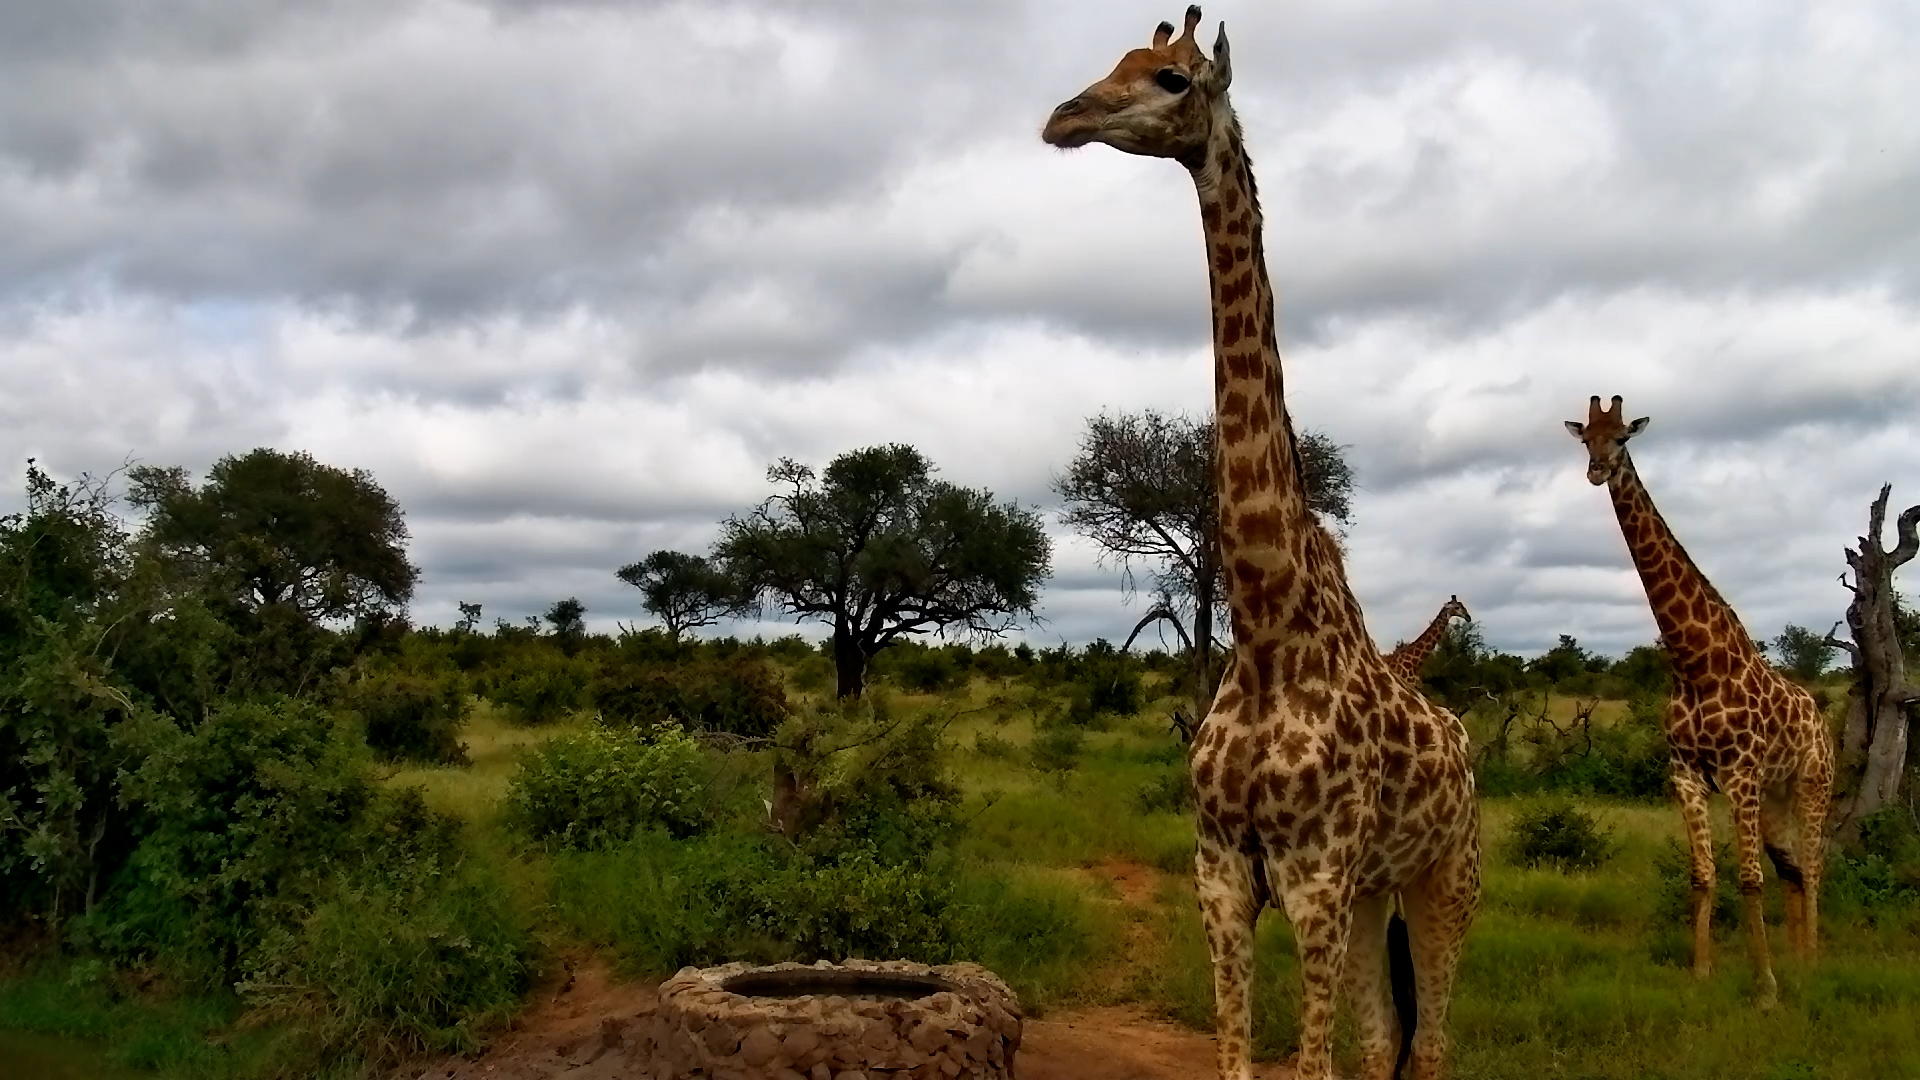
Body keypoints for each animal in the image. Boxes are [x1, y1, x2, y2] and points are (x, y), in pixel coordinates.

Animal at [1043, 11, 1480, 1080]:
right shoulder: (1223, 874)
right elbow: (1242, 1056)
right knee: (1385, 1039)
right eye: (1114, 61)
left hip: (1446, 876)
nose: (1062, 117)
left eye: (1170, 78)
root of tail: (1465, 747)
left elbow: (1312, 1063)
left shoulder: (1314, 875)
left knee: (1432, 1042)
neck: (1269, 624)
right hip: (1375, 892)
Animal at [1565, 394, 1832, 1006]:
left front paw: (1765, 990)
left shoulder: (1739, 773)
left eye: (1623, 438)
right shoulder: (1685, 773)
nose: (1596, 471)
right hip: (1776, 793)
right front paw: (1702, 974)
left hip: (1812, 784)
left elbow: (1748, 879)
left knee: (1812, 866)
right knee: (1792, 869)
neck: (1693, 663)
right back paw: (1799, 962)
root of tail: (1820, 717)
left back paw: (1807, 968)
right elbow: (1703, 874)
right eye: (1585, 437)